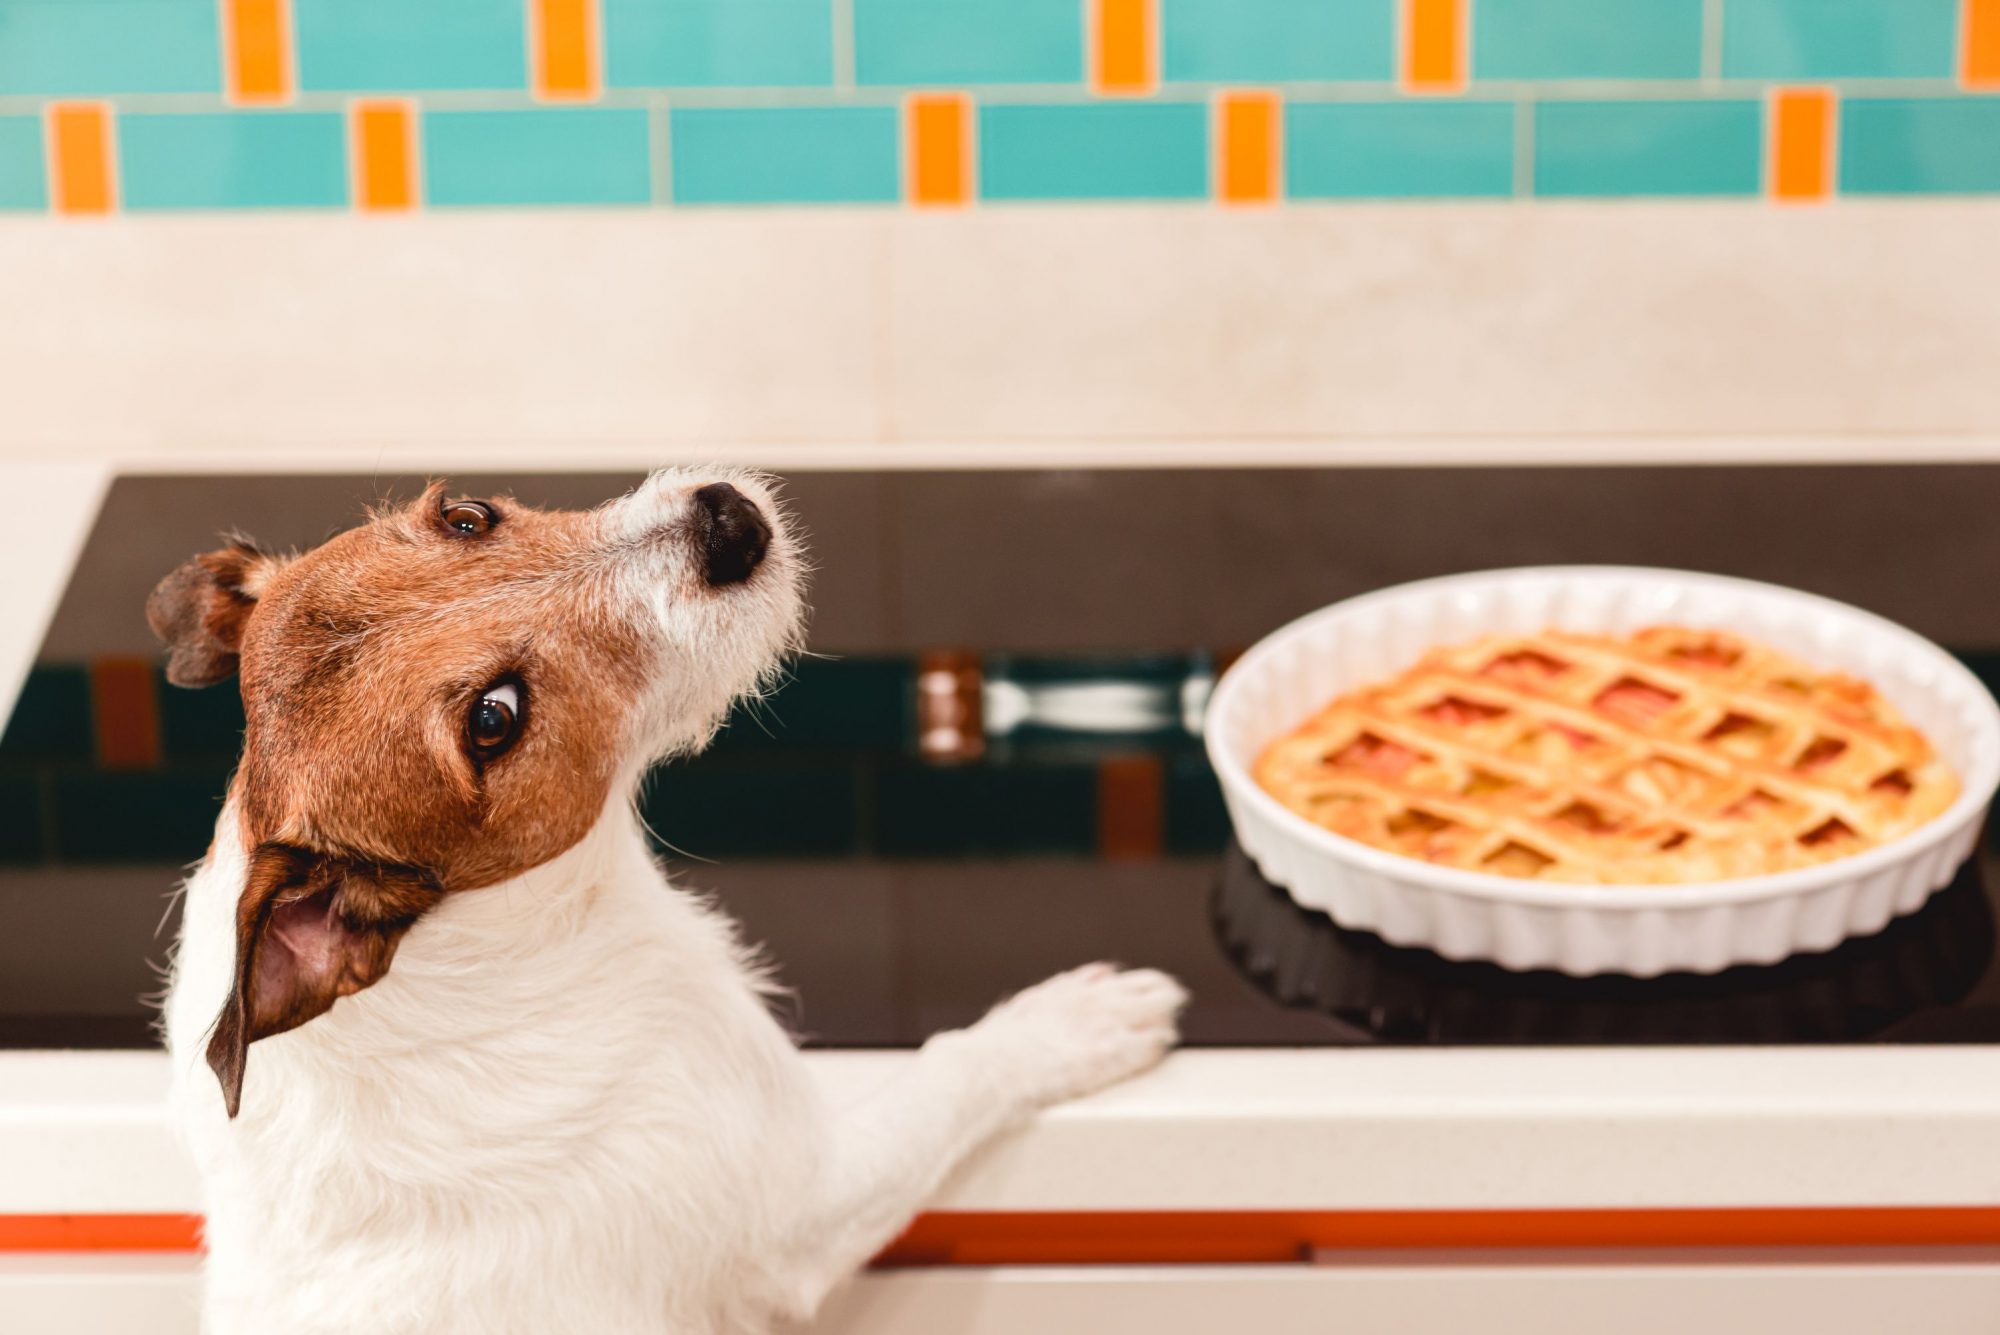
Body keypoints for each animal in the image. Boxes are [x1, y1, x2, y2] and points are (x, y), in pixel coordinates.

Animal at [156, 471, 1184, 1335]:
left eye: (466, 515)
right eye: (495, 717)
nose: (726, 521)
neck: (506, 940)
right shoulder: (802, 1202)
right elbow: (954, 1068)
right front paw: (1071, 1021)